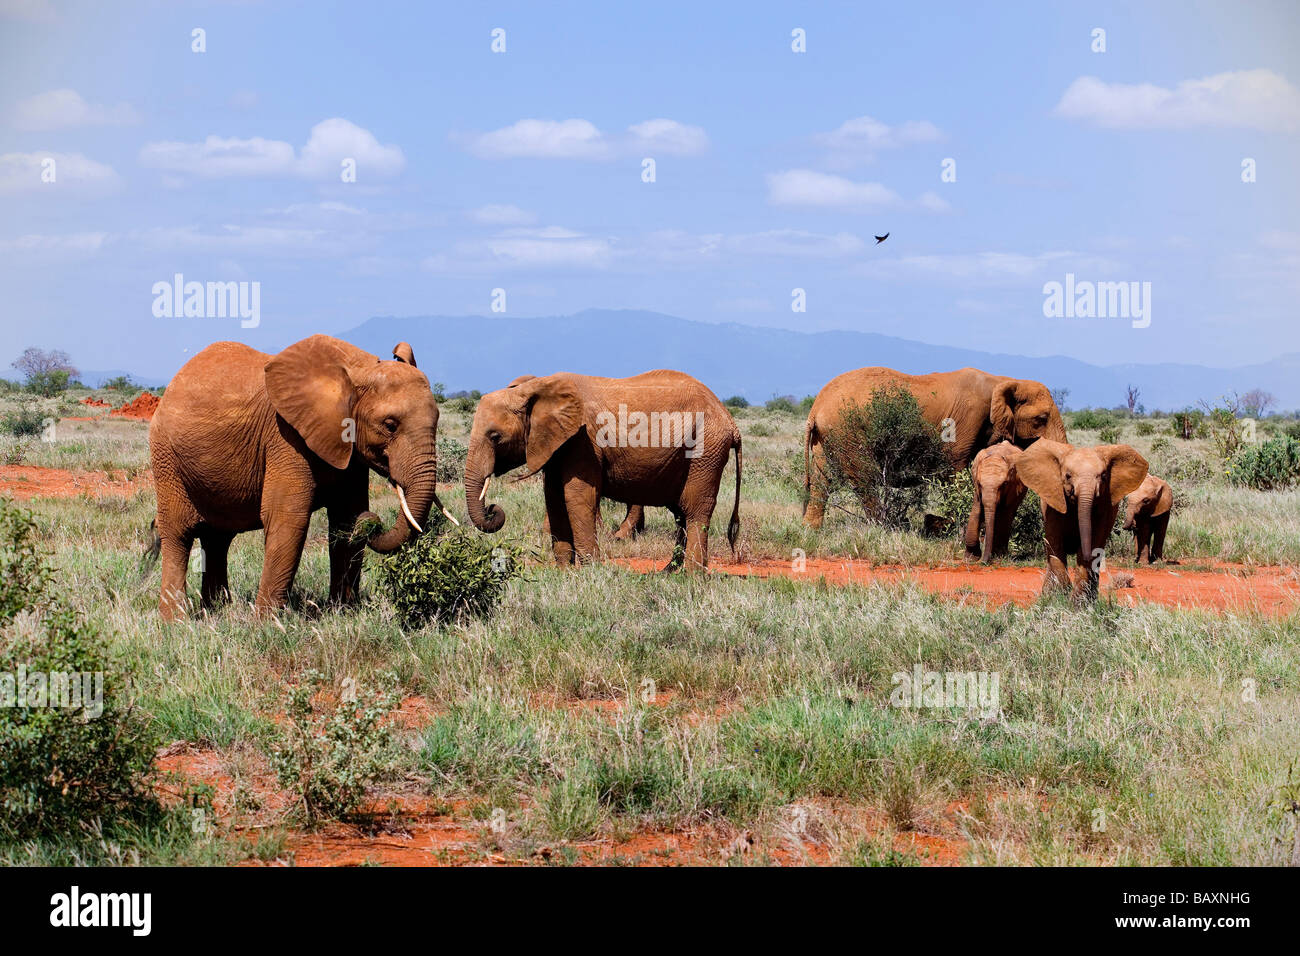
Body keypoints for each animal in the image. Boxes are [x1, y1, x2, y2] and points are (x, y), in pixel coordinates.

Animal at [148, 335, 460, 621]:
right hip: (166, 459)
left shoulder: (347, 447)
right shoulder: (285, 437)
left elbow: (345, 517)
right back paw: (175, 622)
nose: (373, 521)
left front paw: (343, 613)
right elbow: (288, 519)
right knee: (178, 535)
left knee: (217, 539)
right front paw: (268, 625)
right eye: (390, 425)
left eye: (437, 419)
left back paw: (216, 612)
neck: (357, 370)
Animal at [465, 371, 743, 567]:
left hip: (705, 451)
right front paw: (564, 572)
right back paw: (669, 573)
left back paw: (690, 576)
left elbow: (577, 497)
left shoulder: (583, 441)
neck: (533, 390)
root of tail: (731, 421)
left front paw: (590, 572)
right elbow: (553, 497)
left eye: (495, 437)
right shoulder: (556, 444)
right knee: (681, 513)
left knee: (695, 510)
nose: (493, 509)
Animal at [800, 369, 1066, 530]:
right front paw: (945, 526)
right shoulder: (964, 421)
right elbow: (953, 472)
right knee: (863, 479)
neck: (1004, 380)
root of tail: (815, 408)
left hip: (827, 437)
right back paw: (888, 526)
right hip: (847, 431)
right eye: (1041, 419)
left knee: (822, 478)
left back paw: (811, 528)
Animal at [1013, 439, 1149, 598]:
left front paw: (1078, 600)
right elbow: (1055, 543)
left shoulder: (1104, 506)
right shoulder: (1053, 502)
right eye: (1067, 476)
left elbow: (1093, 539)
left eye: (1104, 476)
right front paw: (1057, 595)